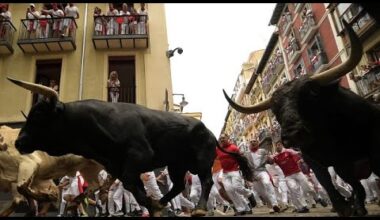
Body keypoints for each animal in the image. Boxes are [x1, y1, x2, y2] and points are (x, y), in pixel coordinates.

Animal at [5, 78, 252, 217]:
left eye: (38, 115)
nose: (19, 141)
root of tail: (208, 131)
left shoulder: (139, 157)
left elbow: (134, 186)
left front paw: (152, 205)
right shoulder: (116, 165)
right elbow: (134, 188)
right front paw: (154, 206)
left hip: (202, 160)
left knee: (206, 181)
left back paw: (200, 208)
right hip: (176, 164)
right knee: (179, 185)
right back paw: (162, 202)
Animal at [223, 20, 380, 217]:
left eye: (312, 92)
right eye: (274, 108)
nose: (292, 134)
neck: (329, 134)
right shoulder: (315, 160)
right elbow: (329, 184)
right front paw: (344, 208)